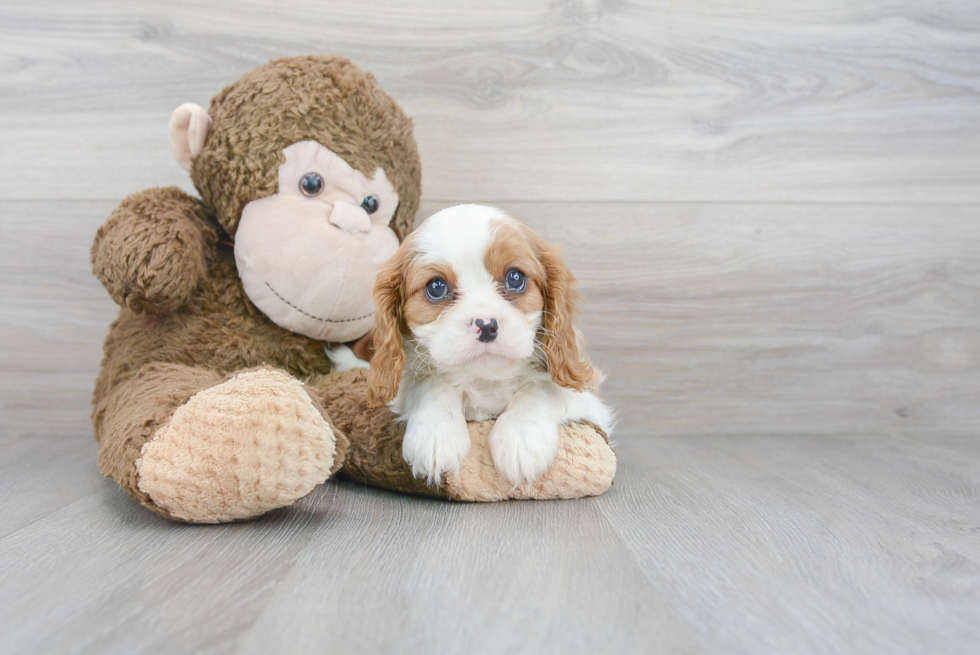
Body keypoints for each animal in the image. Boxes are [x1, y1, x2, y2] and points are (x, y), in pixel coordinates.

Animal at [368, 205, 612, 486]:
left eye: (515, 278)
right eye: (436, 287)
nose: (486, 326)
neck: (485, 378)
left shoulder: (589, 404)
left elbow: (541, 387)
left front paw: (522, 437)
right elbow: (431, 383)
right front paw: (436, 434)